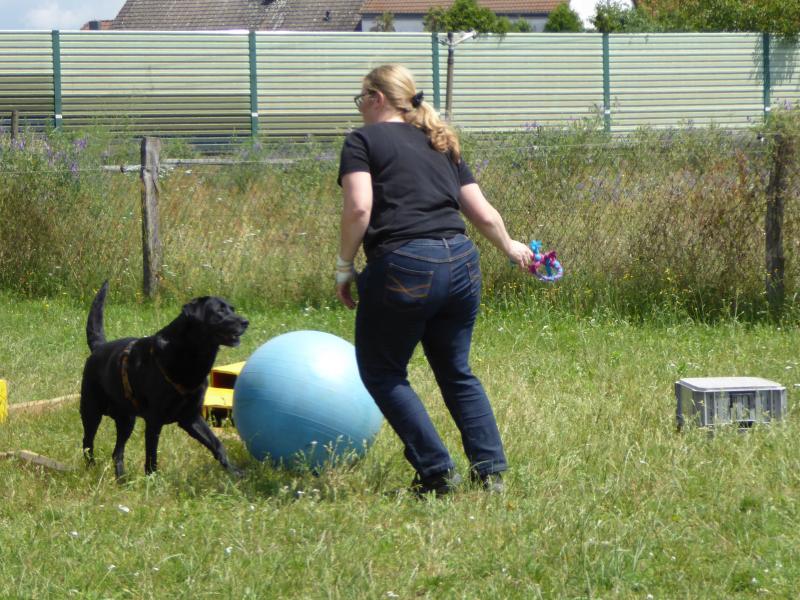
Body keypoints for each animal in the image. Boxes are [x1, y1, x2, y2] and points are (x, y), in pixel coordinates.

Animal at [79, 282, 247, 478]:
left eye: (232, 309)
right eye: (219, 311)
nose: (246, 322)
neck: (189, 356)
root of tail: (99, 347)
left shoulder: (190, 416)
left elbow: (217, 444)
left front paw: (235, 472)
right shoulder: (154, 420)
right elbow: (152, 457)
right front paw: (152, 481)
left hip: (127, 419)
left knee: (117, 453)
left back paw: (122, 479)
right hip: (91, 411)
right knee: (87, 443)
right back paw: (91, 470)